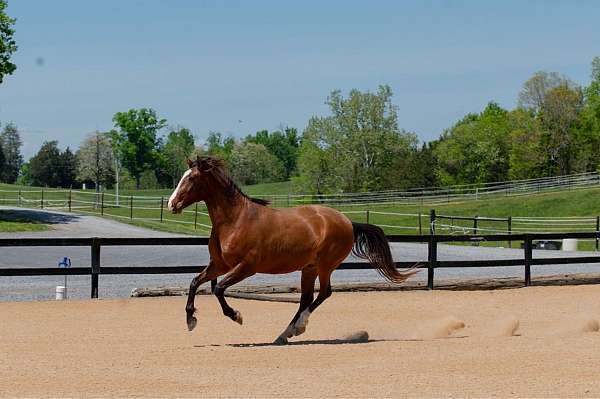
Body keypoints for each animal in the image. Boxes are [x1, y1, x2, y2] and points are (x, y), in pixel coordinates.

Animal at [169, 155, 418, 344]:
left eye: (191, 178)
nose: (172, 204)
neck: (235, 220)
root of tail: (348, 222)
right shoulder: (220, 265)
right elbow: (194, 283)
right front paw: (191, 321)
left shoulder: (246, 267)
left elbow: (219, 289)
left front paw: (236, 316)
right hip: (309, 268)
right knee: (307, 298)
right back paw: (285, 334)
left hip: (325, 266)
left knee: (323, 294)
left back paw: (298, 327)